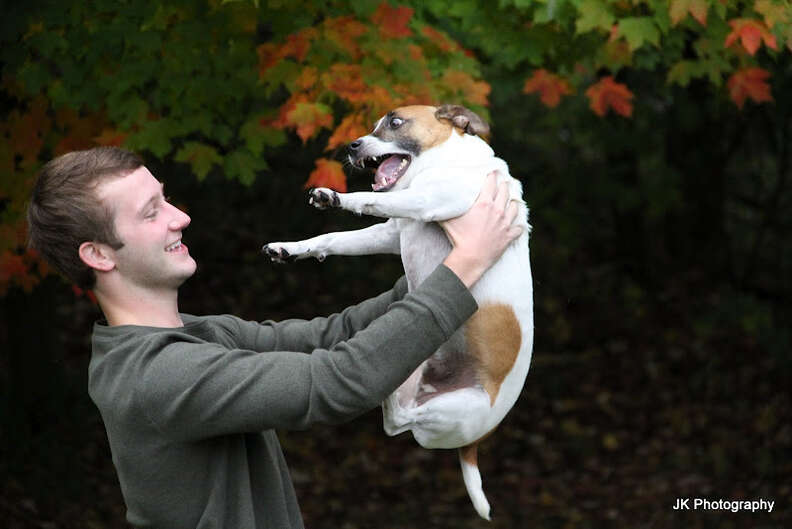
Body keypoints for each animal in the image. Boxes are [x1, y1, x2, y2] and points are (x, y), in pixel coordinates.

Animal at [264, 105, 532, 516]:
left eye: (394, 122)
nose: (352, 145)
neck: (448, 160)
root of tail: (474, 444)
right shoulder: (392, 232)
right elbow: (333, 238)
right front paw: (291, 248)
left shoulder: (430, 200)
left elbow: (371, 200)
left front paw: (337, 198)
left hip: (458, 406)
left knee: (398, 420)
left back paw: (385, 392)